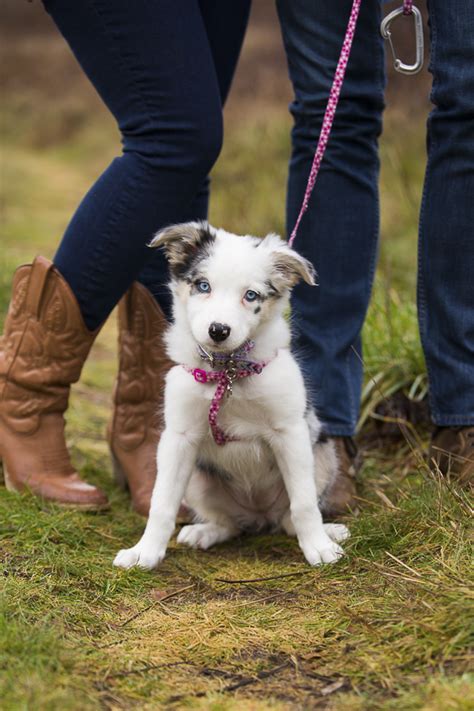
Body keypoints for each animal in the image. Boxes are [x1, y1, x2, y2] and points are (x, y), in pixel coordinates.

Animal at [114, 225, 348, 572]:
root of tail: (259, 514)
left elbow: (304, 503)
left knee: (289, 519)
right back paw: (204, 532)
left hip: (322, 456)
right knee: (230, 524)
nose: (218, 330)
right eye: (203, 286)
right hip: (199, 482)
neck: (228, 372)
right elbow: (162, 503)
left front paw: (318, 547)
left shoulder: (290, 432)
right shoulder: (178, 438)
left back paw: (328, 531)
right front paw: (145, 552)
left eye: (250, 295)